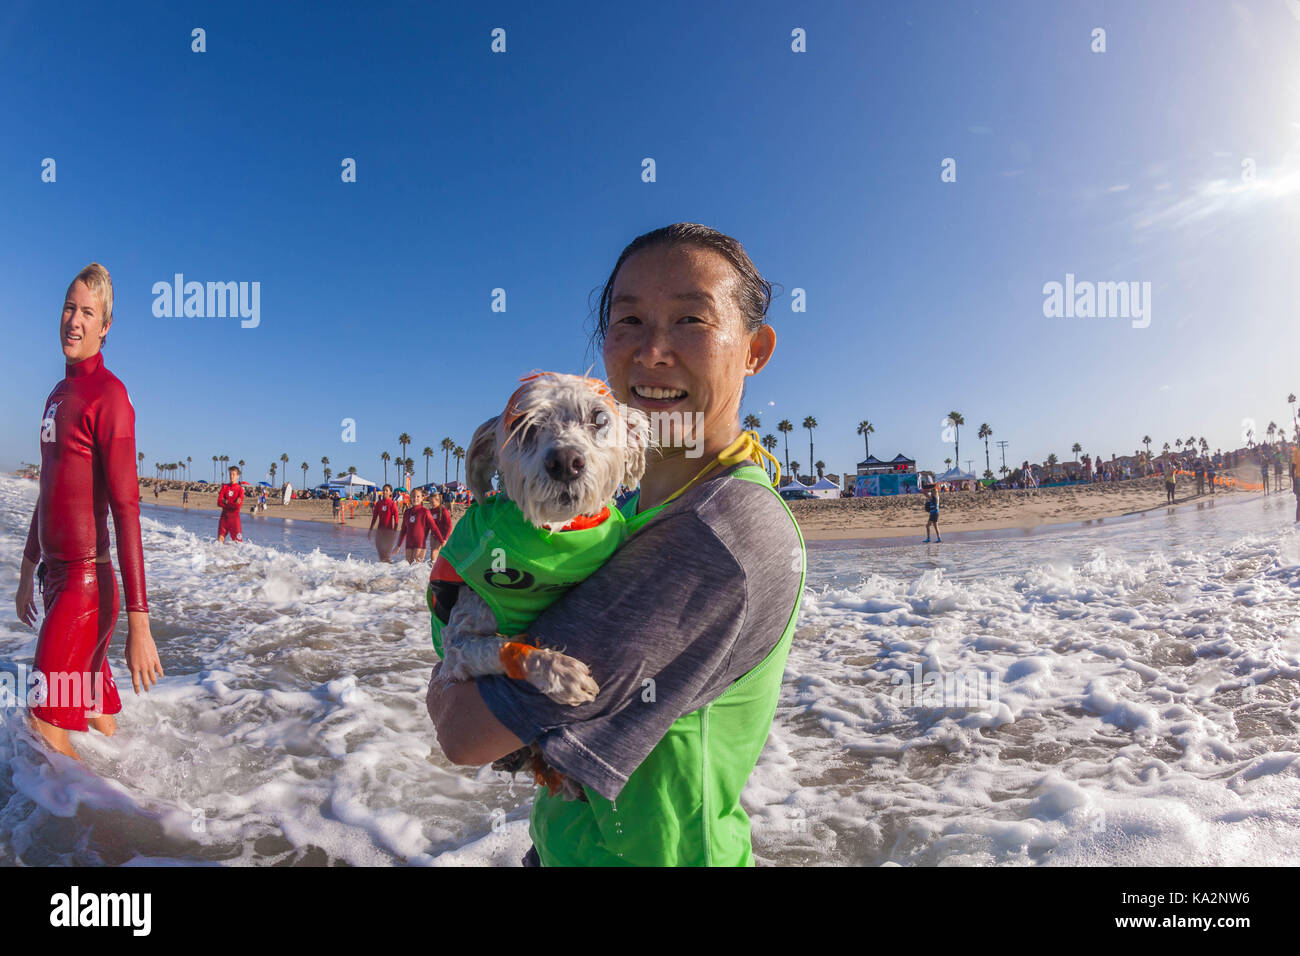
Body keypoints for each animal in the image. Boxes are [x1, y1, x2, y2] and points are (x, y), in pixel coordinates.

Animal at [426, 374, 650, 801]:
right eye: (523, 426)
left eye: (599, 419)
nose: (565, 461)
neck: (555, 534)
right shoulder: (456, 650)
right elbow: (497, 646)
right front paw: (560, 672)